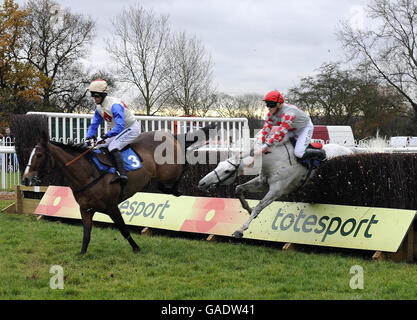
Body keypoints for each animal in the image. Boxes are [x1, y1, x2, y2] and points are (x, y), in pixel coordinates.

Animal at [21, 126, 213, 254]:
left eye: (39, 155)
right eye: (31, 154)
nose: (25, 178)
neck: (87, 174)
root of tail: (169, 134)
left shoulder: (112, 207)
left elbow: (123, 229)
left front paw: (136, 248)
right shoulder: (85, 209)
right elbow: (86, 233)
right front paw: (82, 253)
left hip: (168, 170)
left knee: (183, 165)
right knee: (162, 185)